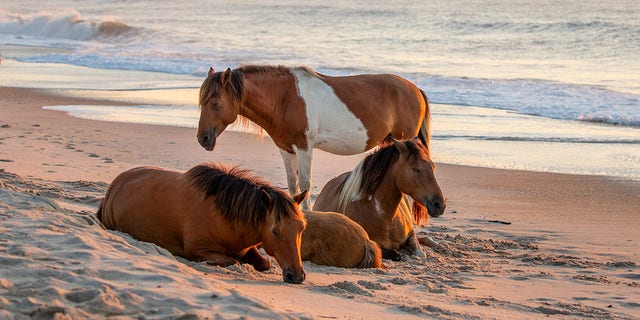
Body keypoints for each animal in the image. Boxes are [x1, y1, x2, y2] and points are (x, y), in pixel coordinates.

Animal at [99, 164, 308, 284]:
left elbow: (264, 262)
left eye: (301, 229)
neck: (224, 216)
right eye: (274, 231)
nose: (297, 276)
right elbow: (233, 261)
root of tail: (115, 186)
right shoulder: (199, 251)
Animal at [198, 65, 432, 210]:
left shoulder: (304, 147)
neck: (284, 98)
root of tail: (415, 90)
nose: (203, 139)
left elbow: (305, 183)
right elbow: (293, 184)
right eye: (202, 102)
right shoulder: (286, 149)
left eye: (216, 103)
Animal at [312, 139, 442, 262]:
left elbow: (420, 253)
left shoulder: (410, 235)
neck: (386, 218)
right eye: (416, 169)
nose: (439, 205)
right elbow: (394, 253)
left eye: (433, 167)